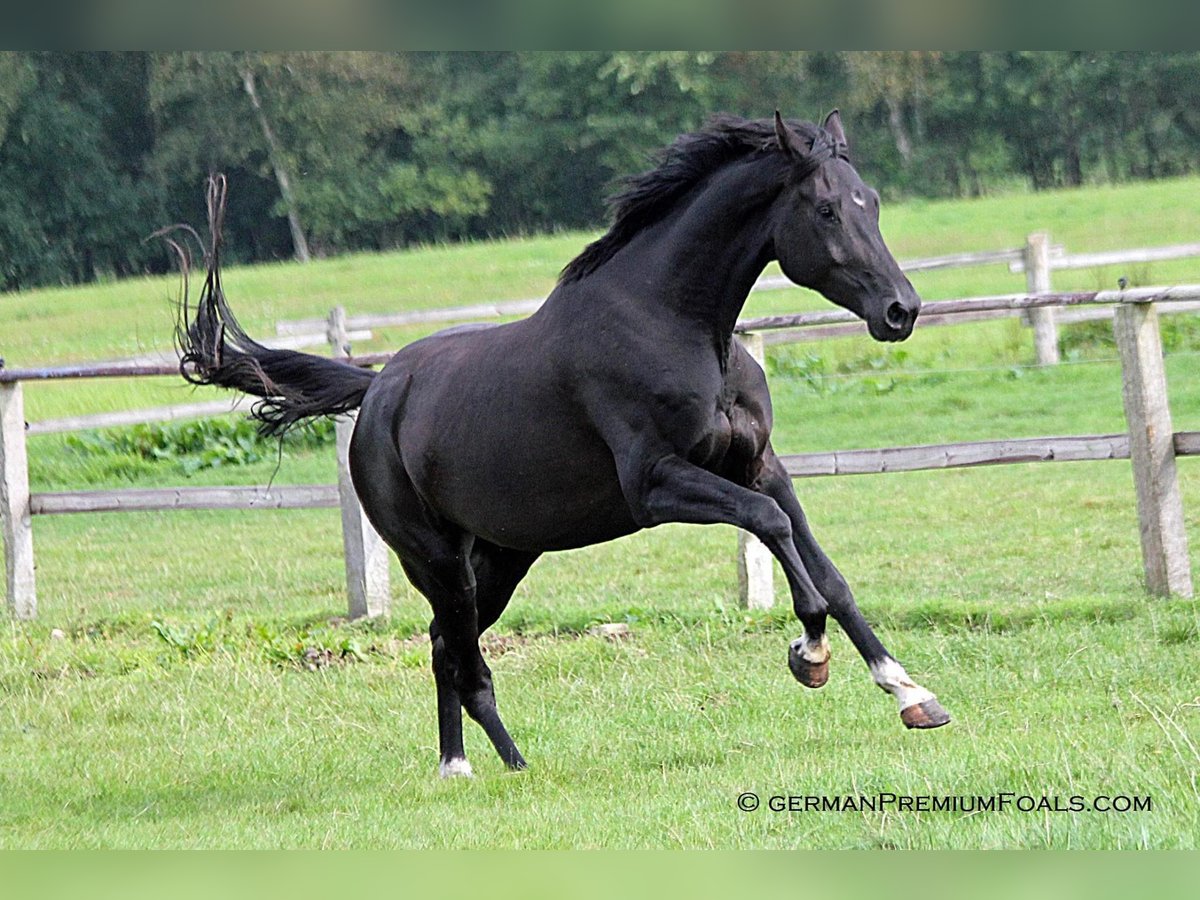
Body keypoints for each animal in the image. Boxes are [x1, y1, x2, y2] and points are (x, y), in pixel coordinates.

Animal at [175, 112, 945, 777]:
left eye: (872, 202)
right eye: (826, 210)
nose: (901, 311)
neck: (675, 324)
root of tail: (377, 390)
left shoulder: (760, 466)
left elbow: (828, 572)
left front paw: (910, 693)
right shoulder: (658, 485)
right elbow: (775, 531)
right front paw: (808, 653)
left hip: (503, 556)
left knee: (445, 645)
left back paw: (461, 765)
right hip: (436, 559)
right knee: (462, 657)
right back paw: (503, 768)